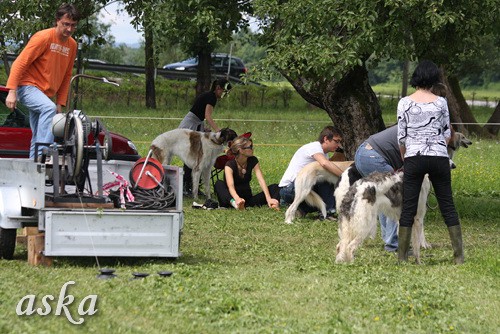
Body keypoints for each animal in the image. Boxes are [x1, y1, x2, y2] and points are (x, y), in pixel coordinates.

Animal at [336, 130, 472, 264]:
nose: (453, 165)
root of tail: (355, 188)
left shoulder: (402, 217)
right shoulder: (418, 217)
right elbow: (417, 244)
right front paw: (419, 261)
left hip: (349, 224)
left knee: (340, 246)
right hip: (365, 223)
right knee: (350, 247)